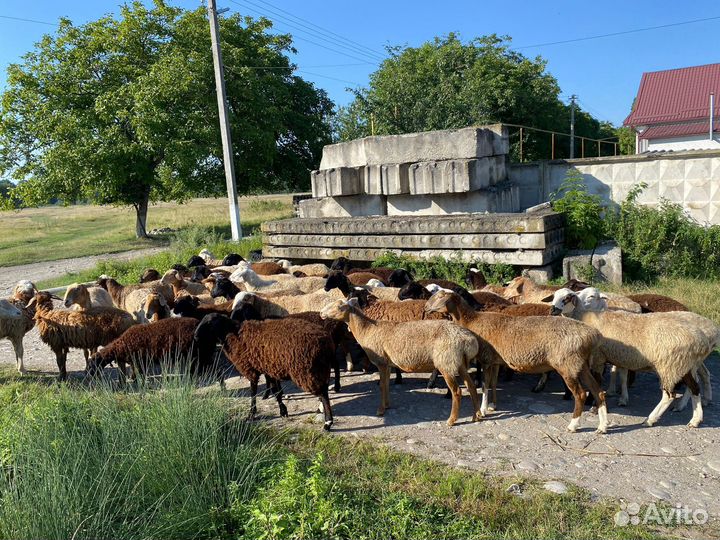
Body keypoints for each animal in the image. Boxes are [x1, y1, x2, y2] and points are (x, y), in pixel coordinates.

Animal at [196, 313, 336, 430]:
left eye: (210, 322)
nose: (196, 336)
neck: (234, 336)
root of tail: (326, 342)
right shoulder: (270, 368)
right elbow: (276, 391)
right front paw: (283, 411)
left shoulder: (251, 369)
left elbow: (253, 393)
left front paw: (251, 414)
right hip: (318, 369)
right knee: (324, 390)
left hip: (306, 370)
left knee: (323, 393)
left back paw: (328, 422)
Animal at [321, 298, 481, 427]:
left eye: (338, 307)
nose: (321, 313)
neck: (366, 329)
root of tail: (468, 340)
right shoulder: (387, 364)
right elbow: (386, 385)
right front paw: (387, 405)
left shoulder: (381, 362)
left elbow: (382, 386)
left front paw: (380, 410)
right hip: (459, 362)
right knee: (471, 386)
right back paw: (476, 416)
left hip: (446, 361)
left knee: (457, 391)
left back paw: (451, 420)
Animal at [424, 290, 608, 433]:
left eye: (440, 296)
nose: (425, 307)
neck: (472, 320)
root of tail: (592, 335)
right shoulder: (495, 361)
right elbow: (492, 383)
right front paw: (493, 405)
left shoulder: (486, 359)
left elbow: (484, 384)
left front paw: (483, 410)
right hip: (580, 365)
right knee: (598, 391)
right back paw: (602, 426)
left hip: (567, 364)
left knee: (581, 394)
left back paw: (573, 425)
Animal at [548, 287, 712, 428]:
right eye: (554, 296)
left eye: (567, 298)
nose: (553, 309)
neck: (585, 316)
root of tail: (701, 341)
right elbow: (619, 375)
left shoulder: (599, 357)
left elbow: (598, 382)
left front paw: (595, 406)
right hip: (684, 365)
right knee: (695, 387)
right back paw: (695, 420)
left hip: (670, 365)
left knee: (670, 395)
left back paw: (650, 419)